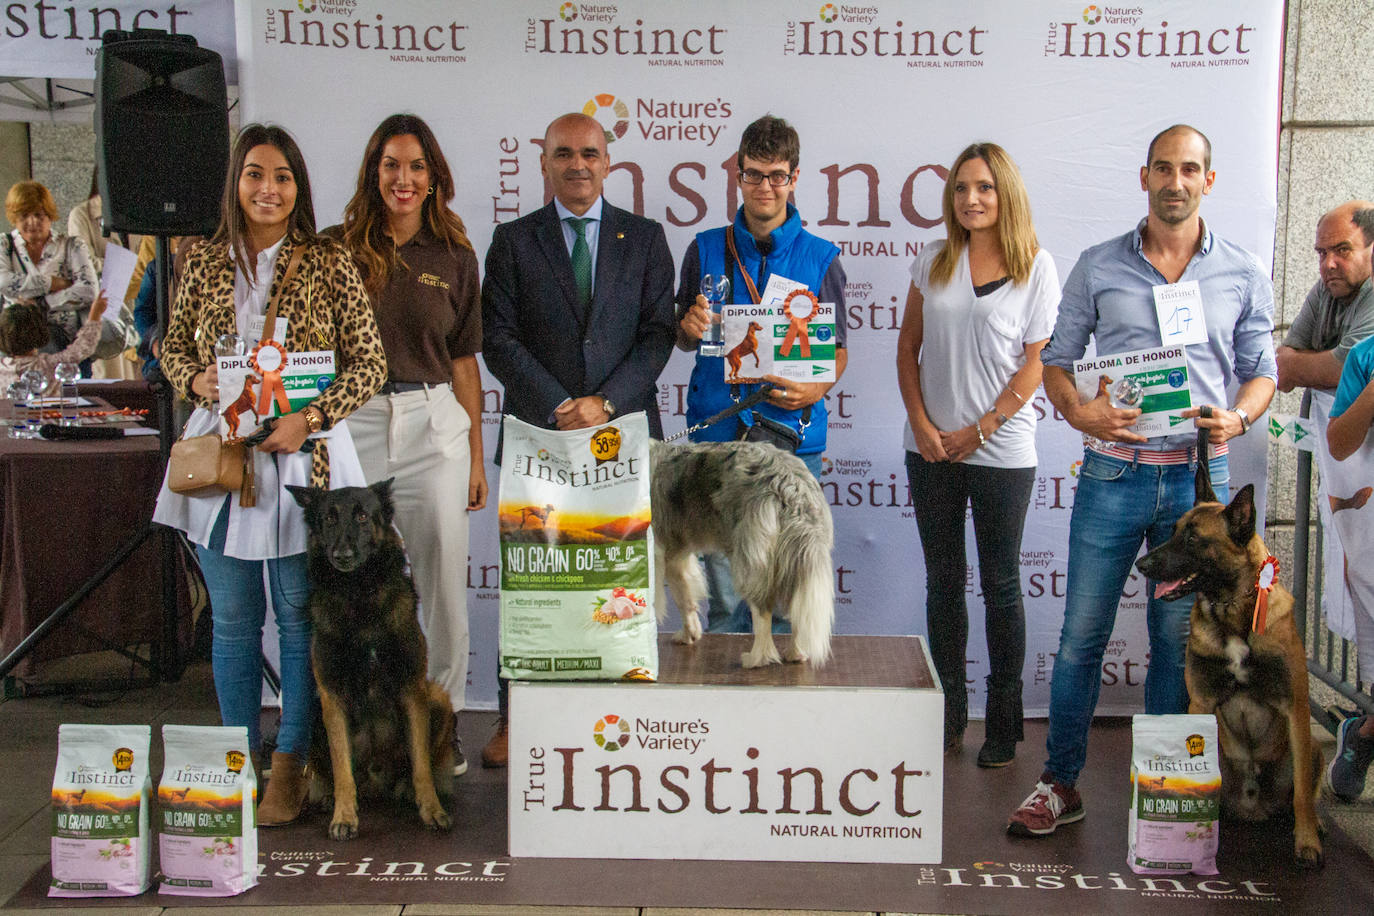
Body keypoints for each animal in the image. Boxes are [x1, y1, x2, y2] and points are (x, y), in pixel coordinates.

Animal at [287, 483, 453, 840]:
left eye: (363, 516)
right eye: (328, 519)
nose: (342, 555)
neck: (358, 596)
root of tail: (377, 783)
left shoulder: (411, 689)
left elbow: (421, 765)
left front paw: (432, 809)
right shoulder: (332, 697)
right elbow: (341, 768)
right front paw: (344, 816)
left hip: (437, 698)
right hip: (311, 709)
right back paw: (328, 795)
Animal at [1132, 433, 1324, 873]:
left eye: (1192, 538)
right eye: (1172, 530)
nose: (1142, 564)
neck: (1232, 610)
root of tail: (1253, 805)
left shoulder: (1295, 705)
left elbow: (1304, 794)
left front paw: (1307, 843)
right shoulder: (1200, 702)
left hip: (1313, 747)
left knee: (1302, 791)